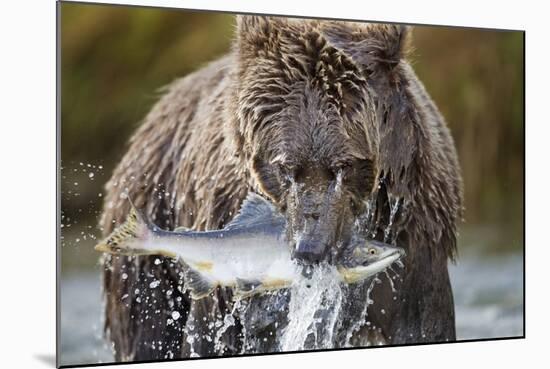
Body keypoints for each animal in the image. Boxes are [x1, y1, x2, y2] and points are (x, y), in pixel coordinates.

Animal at [100, 15, 466, 360]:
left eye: (344, 166)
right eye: (285, 167)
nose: (309, 249)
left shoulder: (414, 239)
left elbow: (420, 322)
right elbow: (212, 333)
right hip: (151, 247)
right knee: (149, 325)